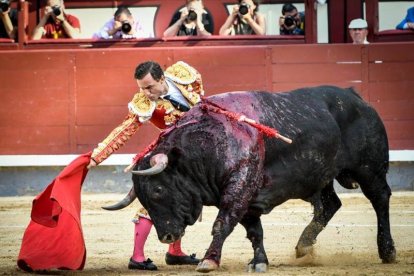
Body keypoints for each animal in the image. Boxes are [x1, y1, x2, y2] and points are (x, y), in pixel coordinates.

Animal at [111, 85, 398, 272]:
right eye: (144, 198)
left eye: (158, 190)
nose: (166, 236)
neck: (208, 143)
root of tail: (355, 96)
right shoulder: (246, 197)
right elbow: (254, 231)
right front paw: (259, 261)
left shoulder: (238, 189)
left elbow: (222, 224)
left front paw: (209, 260)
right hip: (319, 175)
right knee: (329, 205)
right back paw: (304, 245)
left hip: (369, 168)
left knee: (380, 199)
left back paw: (387, 250)